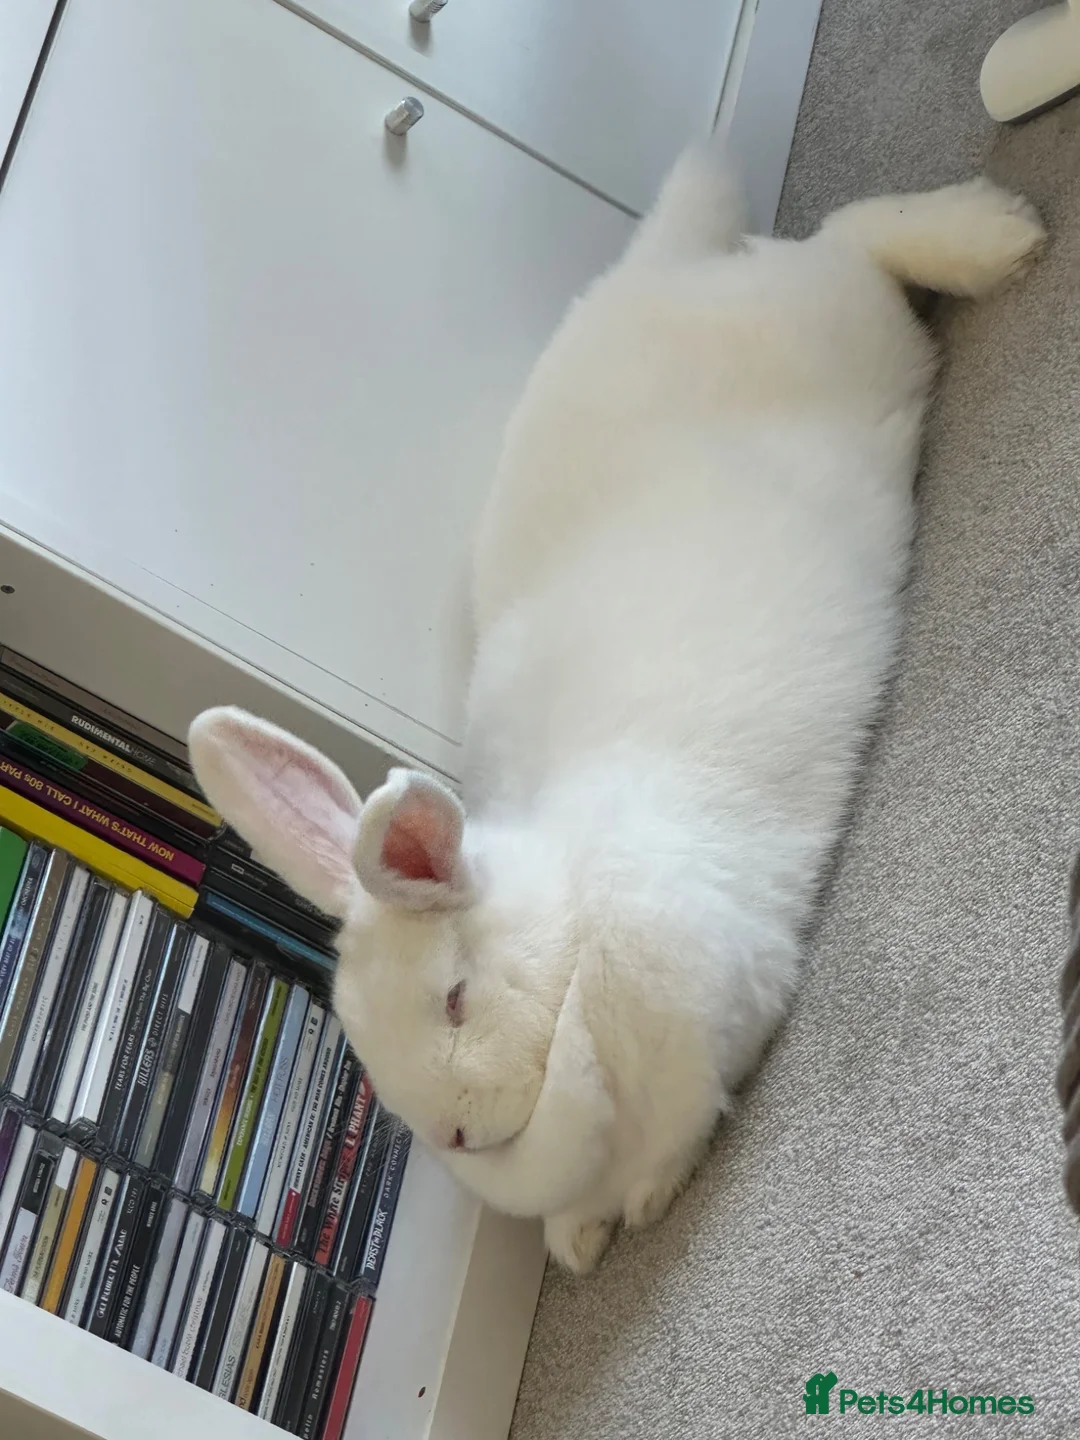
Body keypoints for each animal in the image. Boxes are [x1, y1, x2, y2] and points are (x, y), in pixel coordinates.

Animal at [188, 146, 1044, 1274]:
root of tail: (658, 268)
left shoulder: (692, 999)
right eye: (372, 1056)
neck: (565, 946)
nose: (456, 1132)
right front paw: (583, 1240)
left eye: (455, 998)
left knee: (854, 238)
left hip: (834, 316)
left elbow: (678, 1126)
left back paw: (1000, 238)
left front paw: (639, 1205)